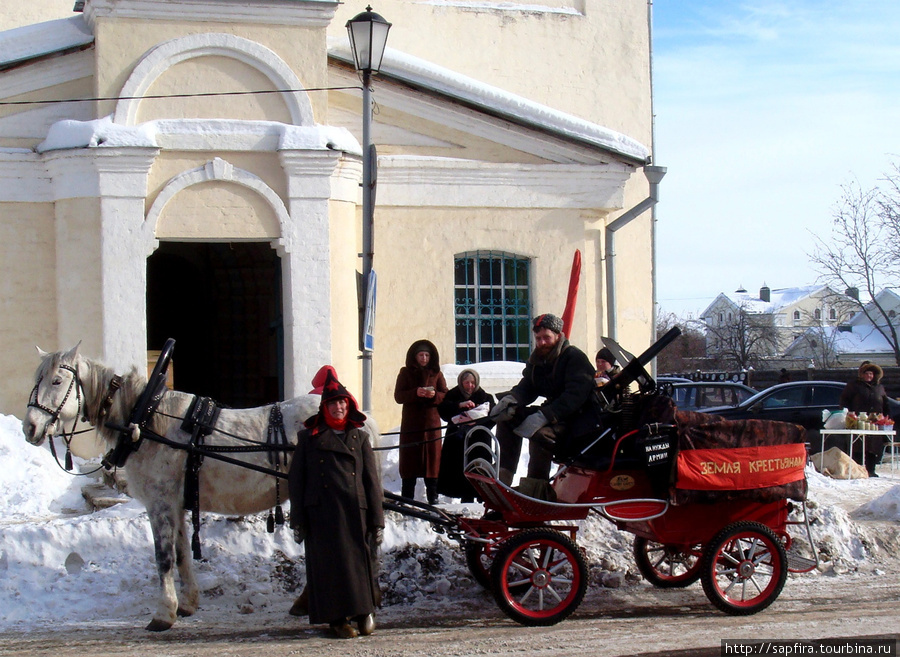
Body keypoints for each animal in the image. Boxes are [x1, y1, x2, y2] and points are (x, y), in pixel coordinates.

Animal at [22, 344, 380, 632]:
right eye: (36, 379)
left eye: (57, 381)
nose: (30, 428)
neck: (146, 420)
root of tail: (361, 418)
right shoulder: (176, 502)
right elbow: (182, 553)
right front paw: (188, 604)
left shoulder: (160, 502)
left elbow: (163, 557)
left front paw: (163, 614)